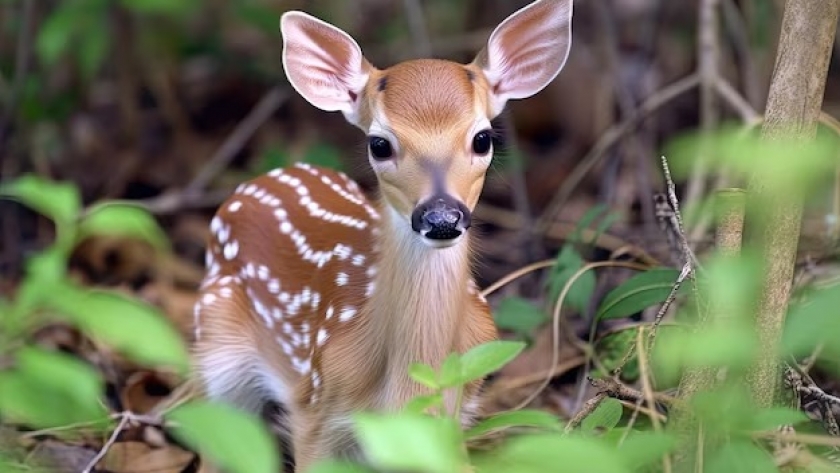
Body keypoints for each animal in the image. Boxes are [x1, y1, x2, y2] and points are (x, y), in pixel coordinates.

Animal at [190, 0, 572, 468]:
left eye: (482, 138)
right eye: (379, 144)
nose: (441, 217)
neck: (406, 388)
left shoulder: (457, 411)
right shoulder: (314, 405)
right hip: (216, 341)